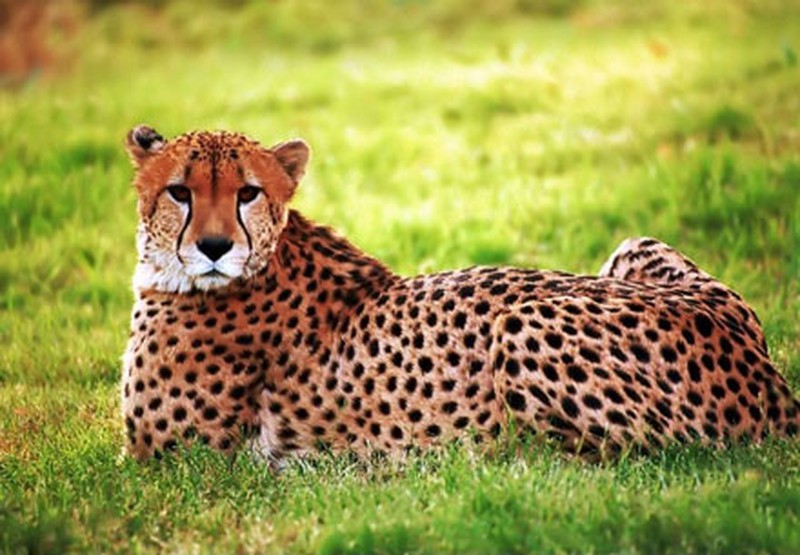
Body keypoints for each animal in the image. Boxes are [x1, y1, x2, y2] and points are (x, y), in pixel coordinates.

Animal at [121, 125, 799, 463]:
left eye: (248, 192)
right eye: (180, 191)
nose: (213, 247)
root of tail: (769, 381)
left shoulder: (174, 462)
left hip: (524, 323)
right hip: (634, 247)